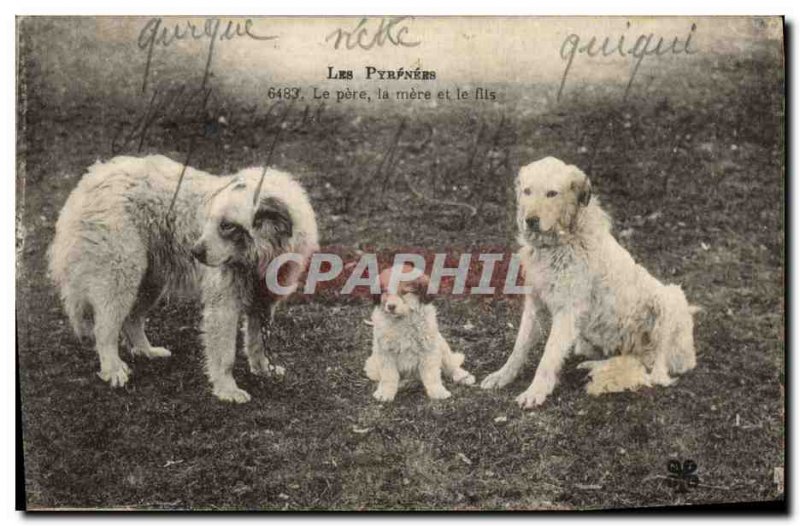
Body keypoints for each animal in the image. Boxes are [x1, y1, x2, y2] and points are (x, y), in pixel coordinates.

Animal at [47, 156, 318, 404]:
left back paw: (146, 351)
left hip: (150, 281)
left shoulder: (264, 302)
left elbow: (258, 342)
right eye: (209, 220)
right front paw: (227, 389)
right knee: (104, 330)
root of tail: (93, 176)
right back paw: (112, 368)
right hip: (120, 275)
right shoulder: (223, 306)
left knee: (132, 319)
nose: (194, 252)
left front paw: (263, 369)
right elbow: (225, 355)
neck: (260, 253)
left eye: (227, 226)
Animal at [364, 266, 476, 402]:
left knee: (450, 365)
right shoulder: (385, 352)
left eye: (405, 292)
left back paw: (463, 376)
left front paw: (438, 391)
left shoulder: (429, 349)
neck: (403, 320)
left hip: (441, 344)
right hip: (371, 365)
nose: (390, 306)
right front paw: (385, 393)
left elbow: (432, 375)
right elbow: (389, 375)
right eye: (385, 292)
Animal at [478, 155, 696, 410]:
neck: (558, 244)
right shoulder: (535, 305)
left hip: (669, 299)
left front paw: (536, 391)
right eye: (527, 191)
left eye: (552, 193)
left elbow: (548, 355)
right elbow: (519, 347)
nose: (530, 220)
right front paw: (503, 375)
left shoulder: (567, 312)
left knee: (654, 368)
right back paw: (595, 364)